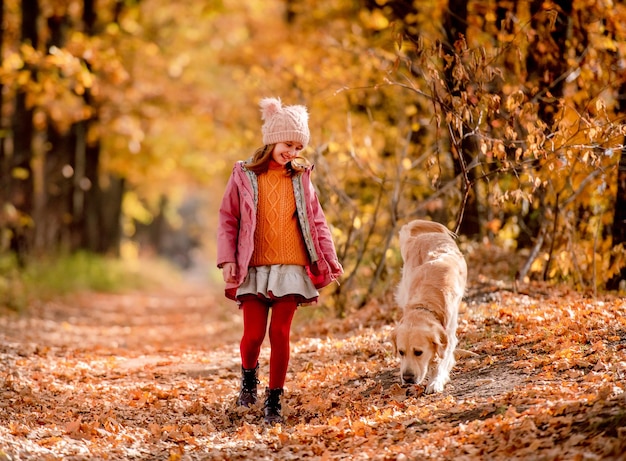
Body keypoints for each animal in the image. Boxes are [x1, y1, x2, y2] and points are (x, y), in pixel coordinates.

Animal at [388, 219, 466, 392]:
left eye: (418, 352)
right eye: (401, 352)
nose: (407, 378)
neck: (425, 303)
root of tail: (427, 235)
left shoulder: (449, 333)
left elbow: (443, 359)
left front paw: (435, 381)